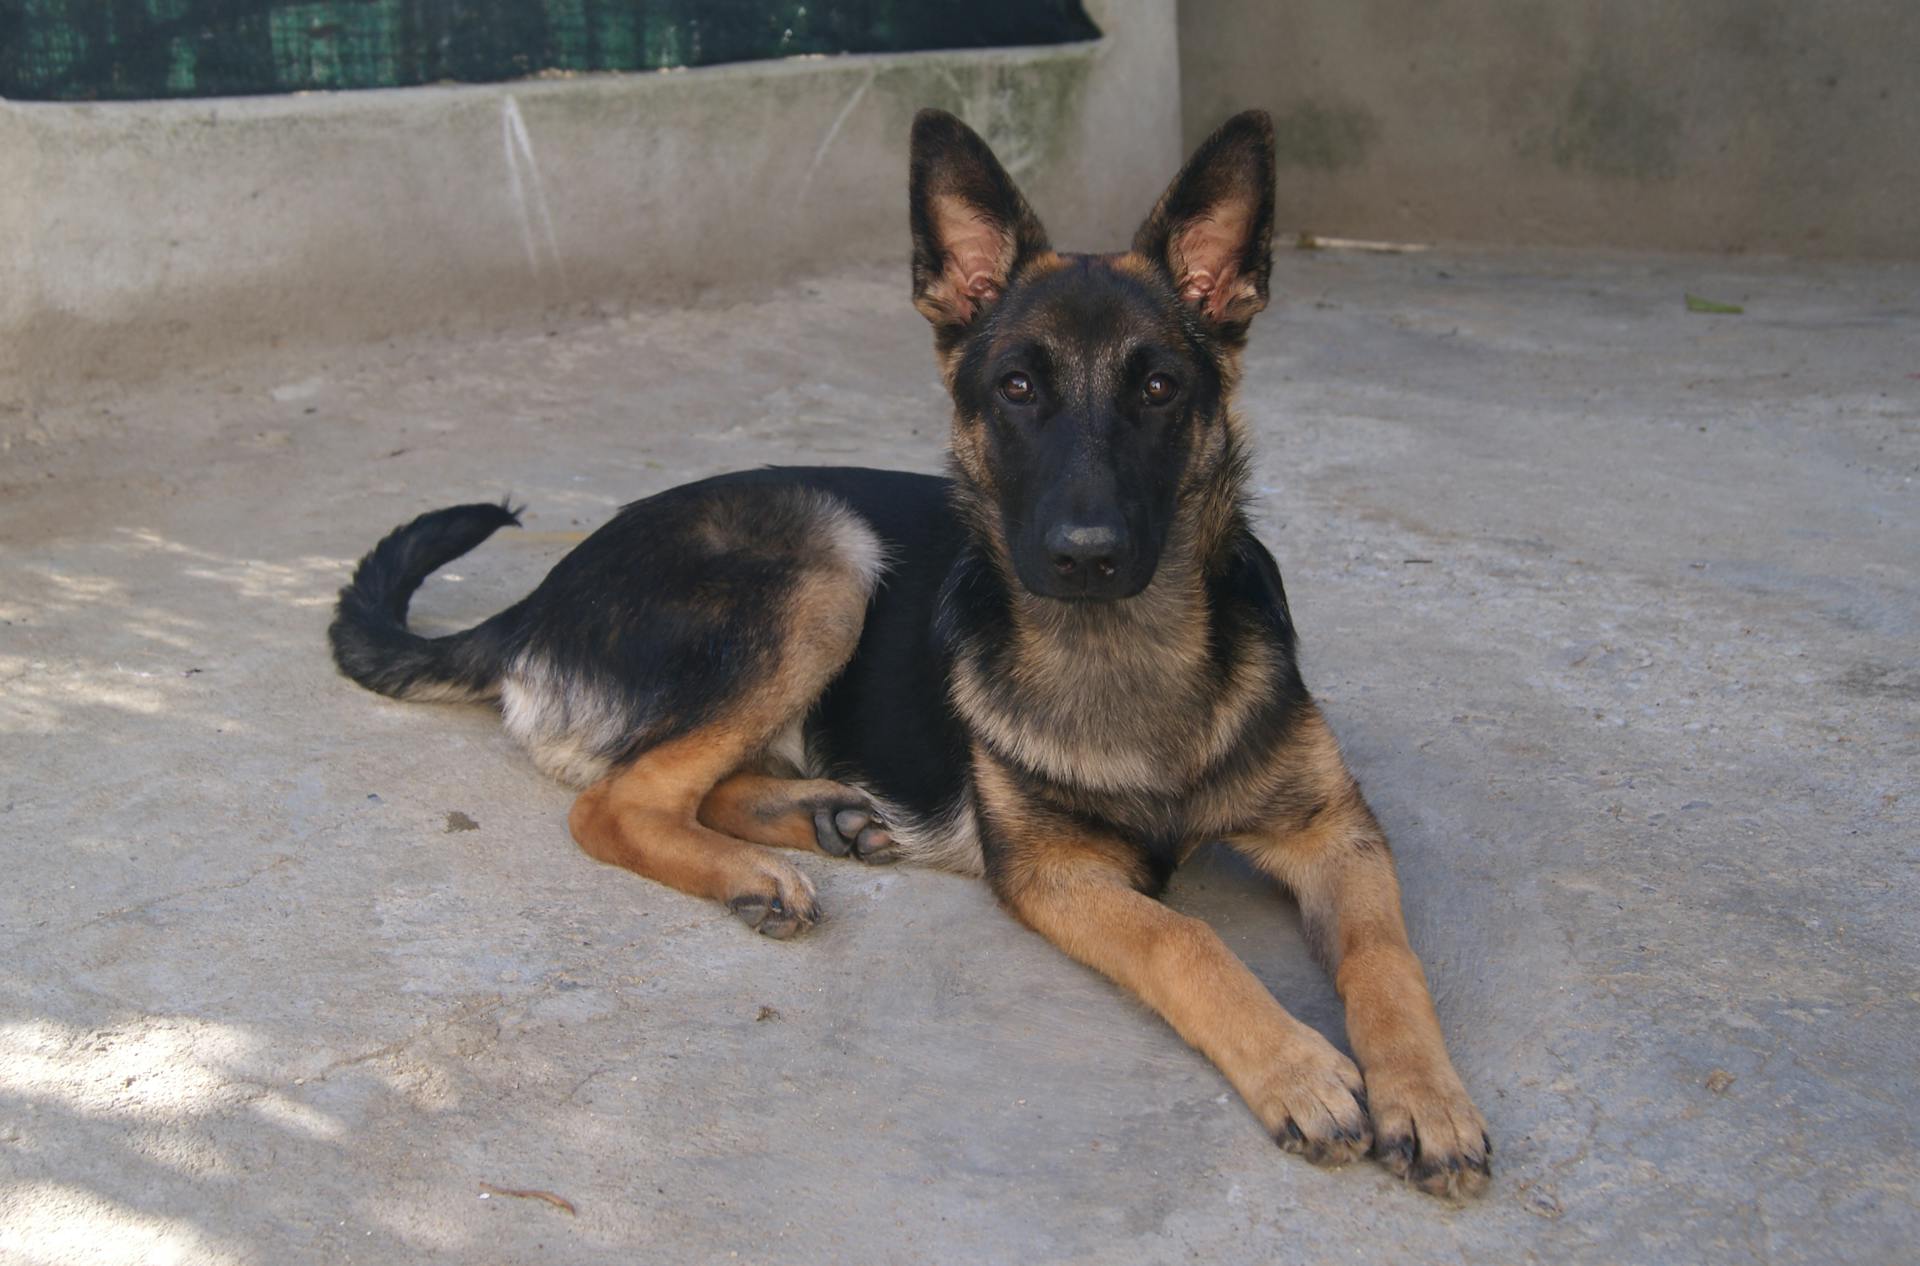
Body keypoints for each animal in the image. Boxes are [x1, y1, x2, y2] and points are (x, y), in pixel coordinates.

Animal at [334, 109, 1482, 1198]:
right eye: (1017, 389)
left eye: (1159, 389)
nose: (1087, 556)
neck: (1125, 652)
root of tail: (536, 599)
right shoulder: (1053, 873)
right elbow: (1184, 937)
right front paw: (1298, 1065)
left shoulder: (1337, 832)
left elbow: (1386, 955)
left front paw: (1426, 1097)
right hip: (826, 557)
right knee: (613, 802)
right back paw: (757, 869)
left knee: (681, 779)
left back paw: (820, 817)